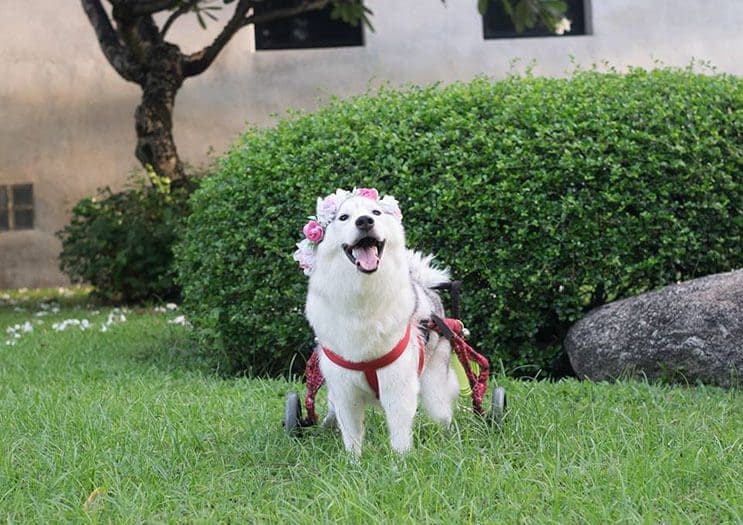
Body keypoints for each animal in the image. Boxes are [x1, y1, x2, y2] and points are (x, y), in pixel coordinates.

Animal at [292, 189, 460, 454]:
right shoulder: (344, 392)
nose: (364, 221)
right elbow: (351, 436)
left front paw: (401, 461)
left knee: (443, 416)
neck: (363, 299)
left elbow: (400, 435)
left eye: (376, 212)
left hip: (435, 392)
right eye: (344, 217)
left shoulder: (398, 385)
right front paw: (354, 461)